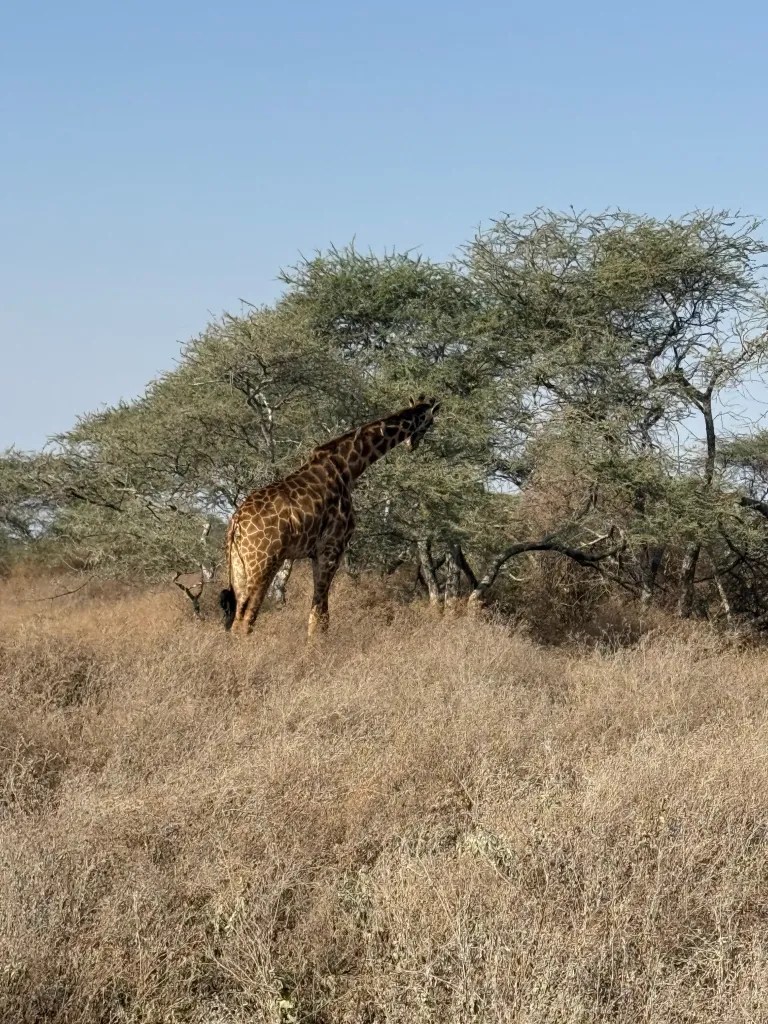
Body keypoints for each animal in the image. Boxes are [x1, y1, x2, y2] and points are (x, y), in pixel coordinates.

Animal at [219, 396, 440, 637]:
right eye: (429, 422)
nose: (413, 444)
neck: (350, 466)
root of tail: (236, 522)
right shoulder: (333, 547)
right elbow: (321, 616)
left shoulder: (316, 553)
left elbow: (318, 612)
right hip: (264, 562)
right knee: (246, 617)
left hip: (238, 565)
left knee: (236, 617)